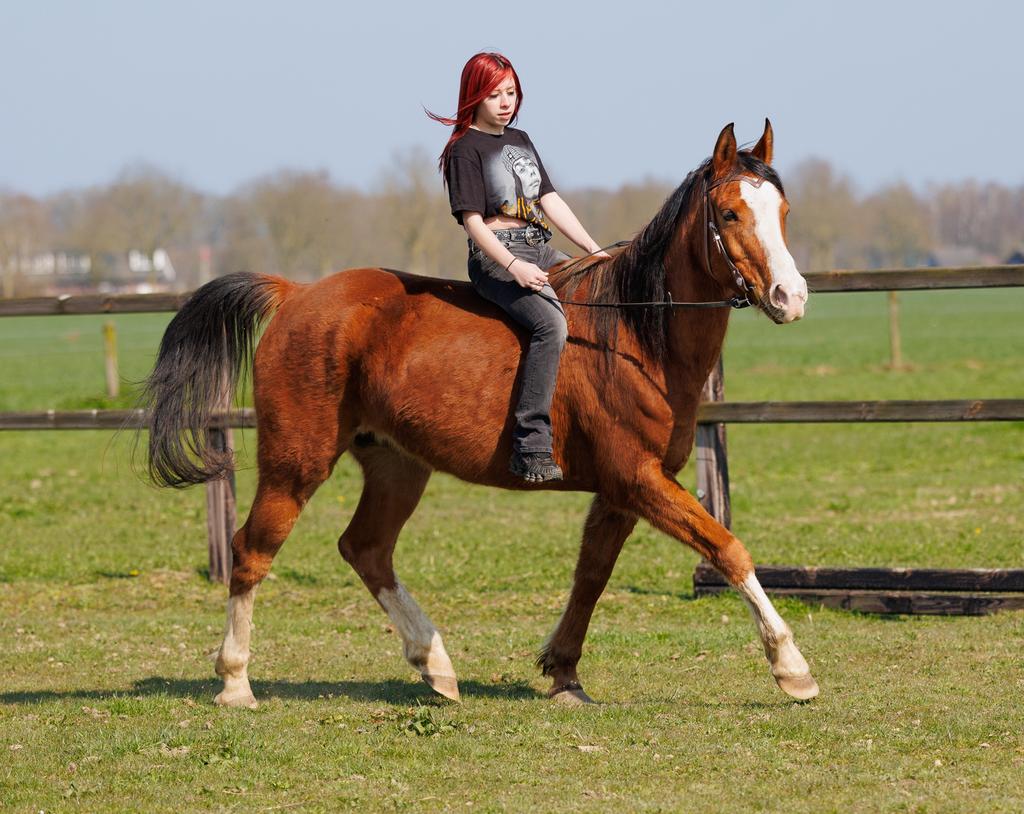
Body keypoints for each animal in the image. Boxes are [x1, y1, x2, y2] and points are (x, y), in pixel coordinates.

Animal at [142, 120, 816, 708]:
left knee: (366, 549)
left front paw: (564, 676)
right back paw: (236, 684)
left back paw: (434, 664)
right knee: (252, 550)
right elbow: (728, 549)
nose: (791, 297)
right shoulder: (637, 478)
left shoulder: (621, 490)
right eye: (729, 214)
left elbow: (591, 575)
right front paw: (792, 668)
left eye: (784, 212)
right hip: (295, 462)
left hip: (396, 466)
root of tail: (296, 293)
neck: (634, 335)